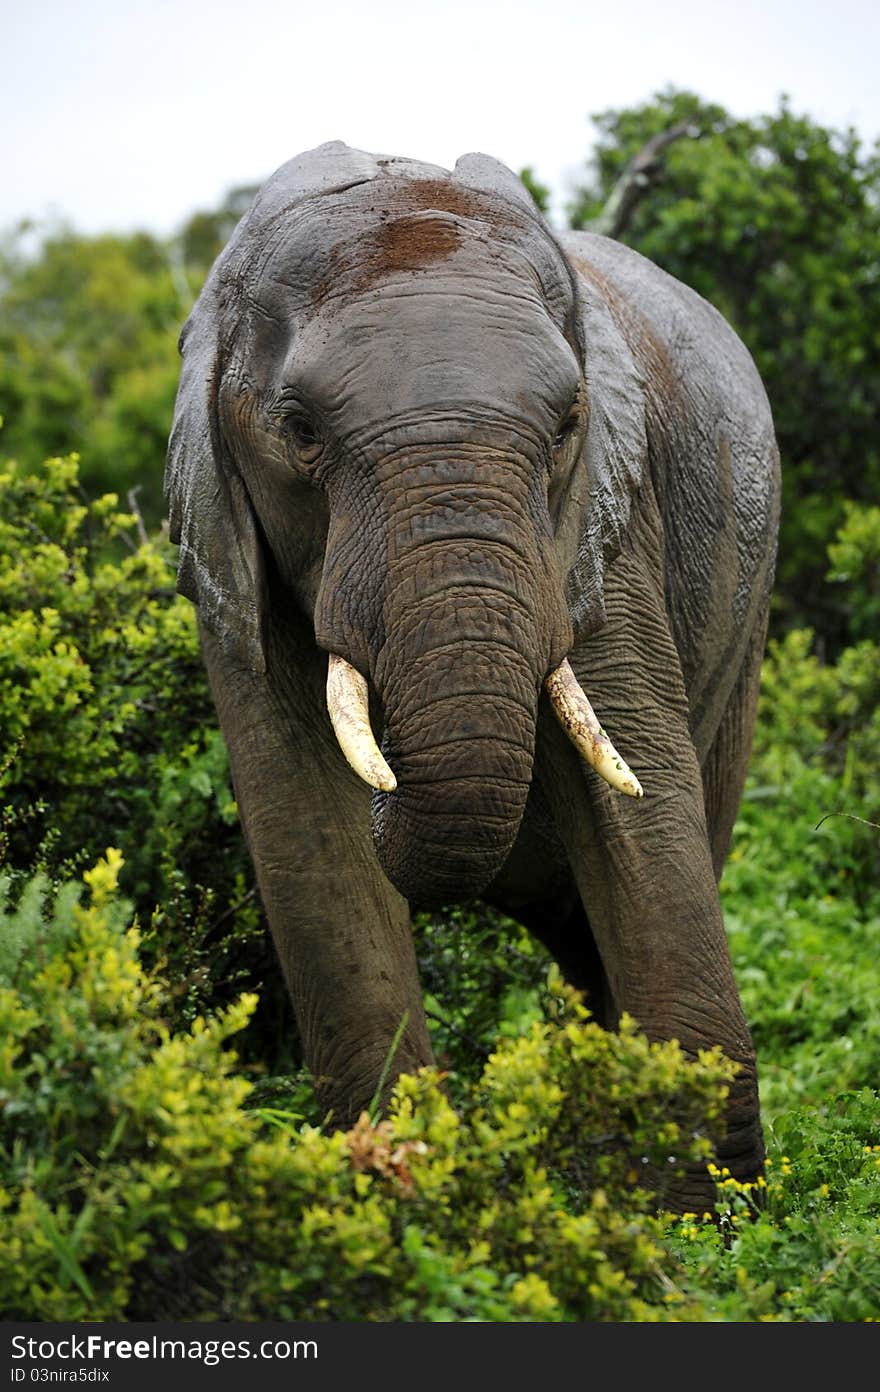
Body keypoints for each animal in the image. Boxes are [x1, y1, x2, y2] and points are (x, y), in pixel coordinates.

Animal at [165, 141, 774, 1208]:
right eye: (300, 430)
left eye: (567, 423)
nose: (394, 769)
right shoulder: (230, 563)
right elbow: (309, 834)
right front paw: (395, 1183)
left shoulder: (601, 528)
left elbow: (642, 809)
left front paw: (710, 1224)